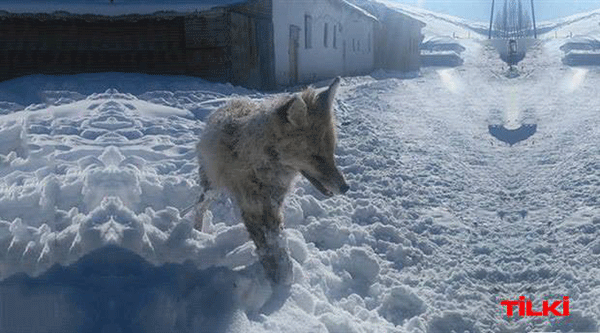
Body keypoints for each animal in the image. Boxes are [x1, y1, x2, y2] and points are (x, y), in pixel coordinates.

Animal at [195, 77, 350, 282]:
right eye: (316, 156)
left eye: (332, 152)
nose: (346, 187)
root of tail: (231, 102)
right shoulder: (251, 207)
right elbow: (267, 250)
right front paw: (279, 283)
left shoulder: (273, 206)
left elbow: (278, 245)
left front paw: (286, 279)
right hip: (211, 187)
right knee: (200, 206)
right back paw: (196, 232)